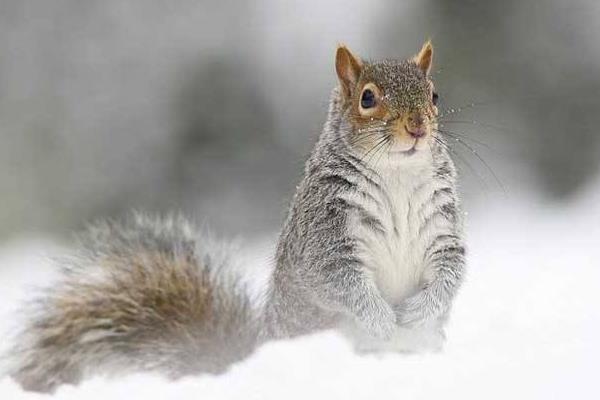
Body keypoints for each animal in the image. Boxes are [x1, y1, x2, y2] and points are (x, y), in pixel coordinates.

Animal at [8, 41, 464, 394]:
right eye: (367, 98)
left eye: (434, 95)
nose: (418, 127)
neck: (397, 174)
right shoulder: (325, 234)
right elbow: (339, 279)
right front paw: (381, 319)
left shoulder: (442, 230)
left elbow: (450, 270)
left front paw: (420, 310)